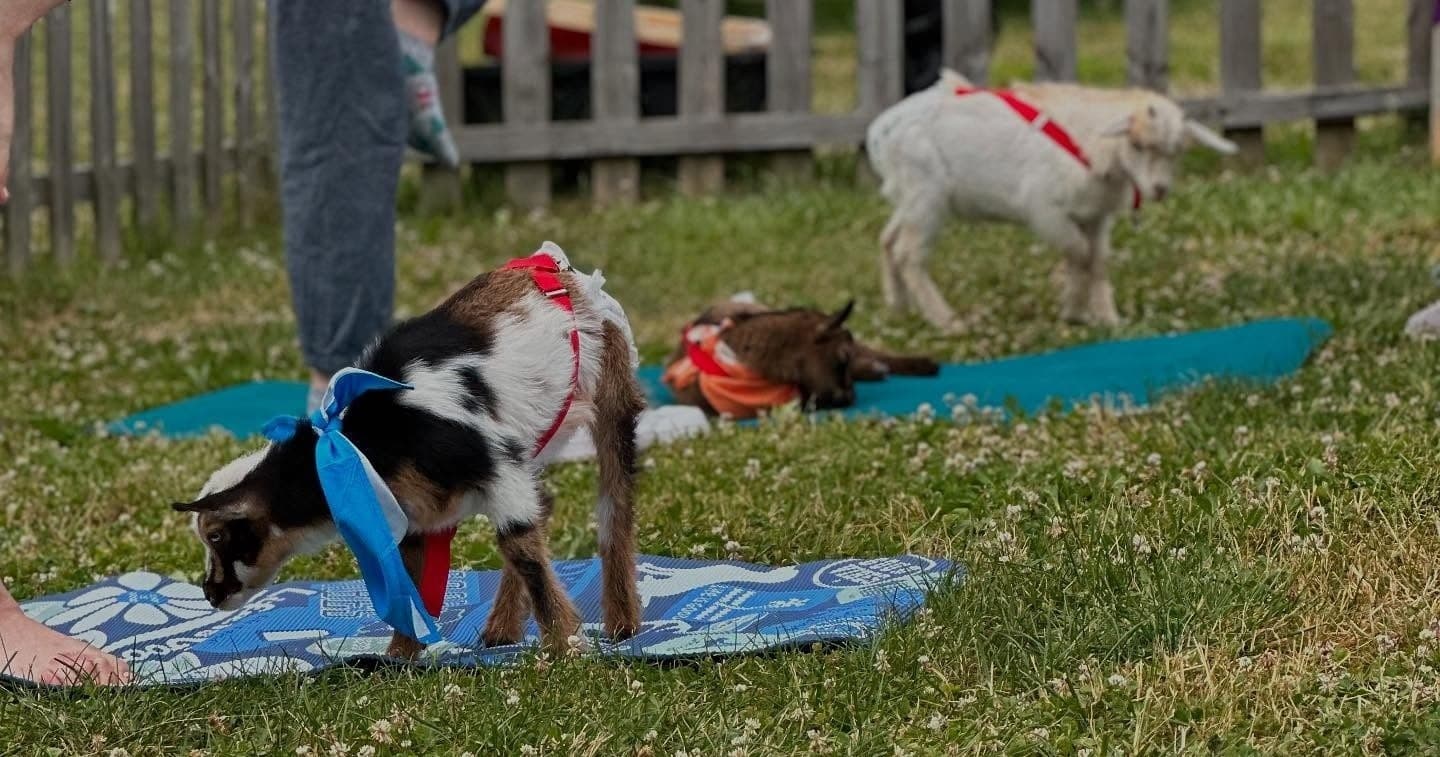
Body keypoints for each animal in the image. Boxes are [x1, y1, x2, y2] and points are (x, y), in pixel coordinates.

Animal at [172, 243, 645, 658]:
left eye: (216, 536)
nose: (209, 593)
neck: (359, 439)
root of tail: (555, 268)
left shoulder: (497, 467)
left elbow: (520, 546)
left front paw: (566, 648)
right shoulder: (415, 508)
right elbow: (412, 577)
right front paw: (397, 658)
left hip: (611, 391)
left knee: (612, 505)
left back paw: (622, 623)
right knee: (546, 504)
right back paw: (501, 631)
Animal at [866, 69, 1237, 331]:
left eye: (1177, 151)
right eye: (1136, 144)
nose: (1159, 190)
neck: (1087, 144)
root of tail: (881, 130)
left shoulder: (1096, 215)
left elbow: (1097, 260)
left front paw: (1105, 317)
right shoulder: (1046, 210)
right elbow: (1080, 252)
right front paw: (1074, 307)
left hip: (909, 197)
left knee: (887, 240)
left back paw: (898, 307)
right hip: (925, 195)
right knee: (908, 255)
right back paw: (947, 320)